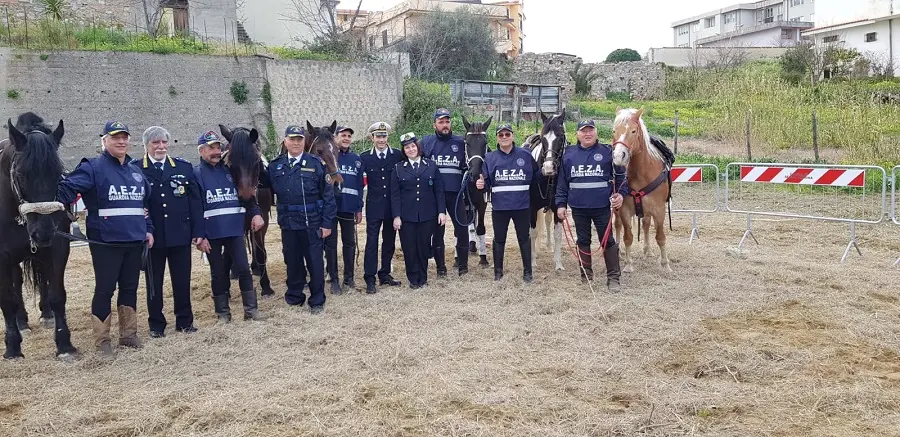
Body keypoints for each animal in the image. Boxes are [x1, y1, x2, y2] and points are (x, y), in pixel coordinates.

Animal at [0, 111, 76, 358]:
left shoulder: (57, 247)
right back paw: (22, 321)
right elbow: (7, 300)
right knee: (16, 282)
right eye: (21, 174)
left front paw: (64, 344)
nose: (43, 232)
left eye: (58, 173)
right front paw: (12, 346)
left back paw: (46, 315)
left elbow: (57, 294)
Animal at [520, 110, 568, 270]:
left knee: (547, 221)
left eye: (560, 137)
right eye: (543, 138)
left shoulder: (558, 207)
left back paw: (548, 246)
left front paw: (558, 263)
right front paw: (532, 261)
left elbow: (557, 233)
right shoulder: (532, 207)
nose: (548, 168)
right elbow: (533, 232)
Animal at [608, 107, 672, 270]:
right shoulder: (624, 209)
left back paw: (647, 250)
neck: (642, 174)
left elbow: (660, 237)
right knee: (617, 225)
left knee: (646, 224)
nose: (618, 156)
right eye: (614, 130)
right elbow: (628, 237)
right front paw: (628, 265)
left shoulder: (659, 210)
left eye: (633, 131)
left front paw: (665, 264)